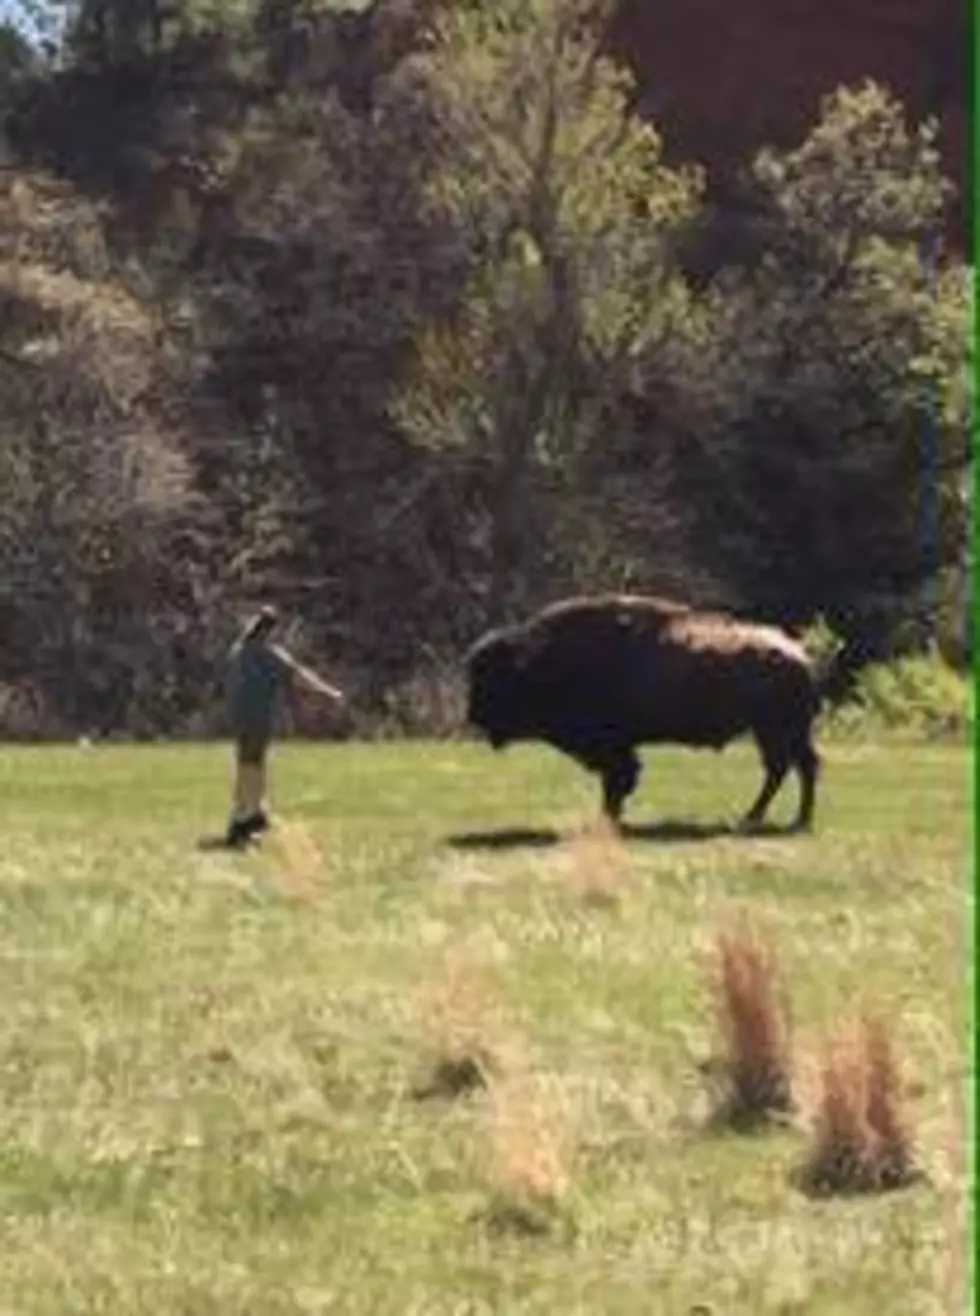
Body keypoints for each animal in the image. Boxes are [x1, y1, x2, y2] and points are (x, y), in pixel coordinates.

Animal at [464, 593, 823, 832]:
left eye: (495, 678)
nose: (472, 715)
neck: (543, 660)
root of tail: (800, 657)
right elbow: (619, 781)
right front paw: (609, 818)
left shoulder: (611, 747)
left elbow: (618, 780)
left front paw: (607, 819)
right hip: (776, 732)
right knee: (792, 768)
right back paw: (780, 818)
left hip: (777, 731)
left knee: (791, 767)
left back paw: (773, 819)